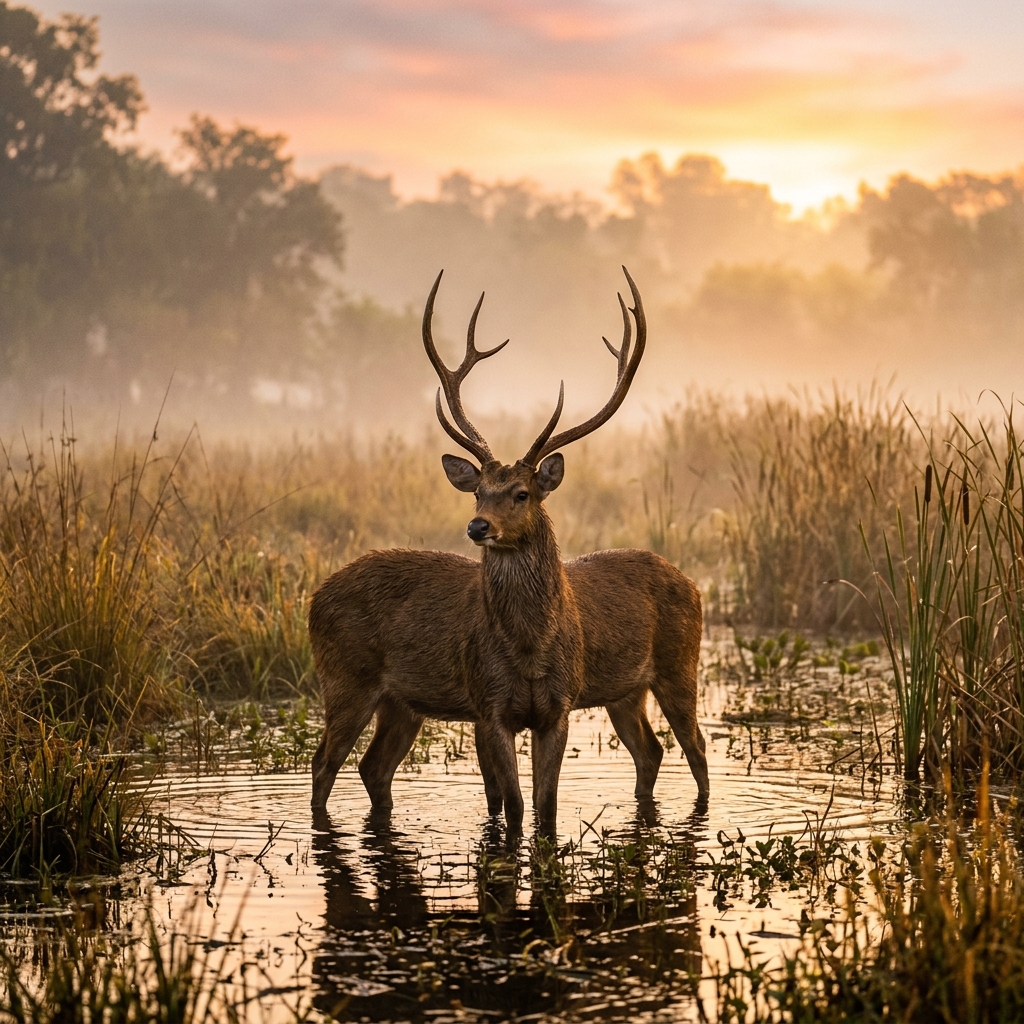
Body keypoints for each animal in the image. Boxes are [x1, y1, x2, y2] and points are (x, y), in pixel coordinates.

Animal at [309, 267, 708, 834]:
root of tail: (314, 598)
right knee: (331, 763)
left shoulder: (558, 705)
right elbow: (518, 807)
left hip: (675, 664)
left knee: (686, 749)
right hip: (350, 677)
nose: (478, 526)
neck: (529, 648)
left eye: (521, 493)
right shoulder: (490, 704)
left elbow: (545, 808)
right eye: (478, 491)